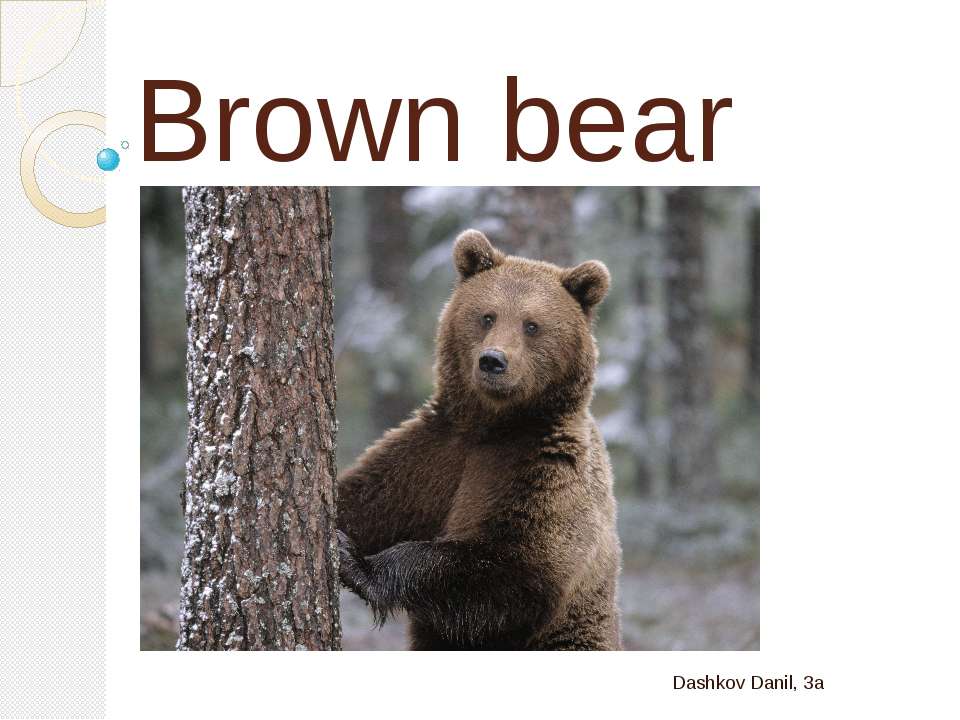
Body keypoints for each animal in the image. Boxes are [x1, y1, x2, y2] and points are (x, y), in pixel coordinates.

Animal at [336, 229, 622, 650]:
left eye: (531, 325)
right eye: (487, 316)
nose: (493, 361)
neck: (495, 424)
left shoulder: (543, 469)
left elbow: (513, 568)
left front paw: (358, 564)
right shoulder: (434, 454)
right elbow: (367, 499)